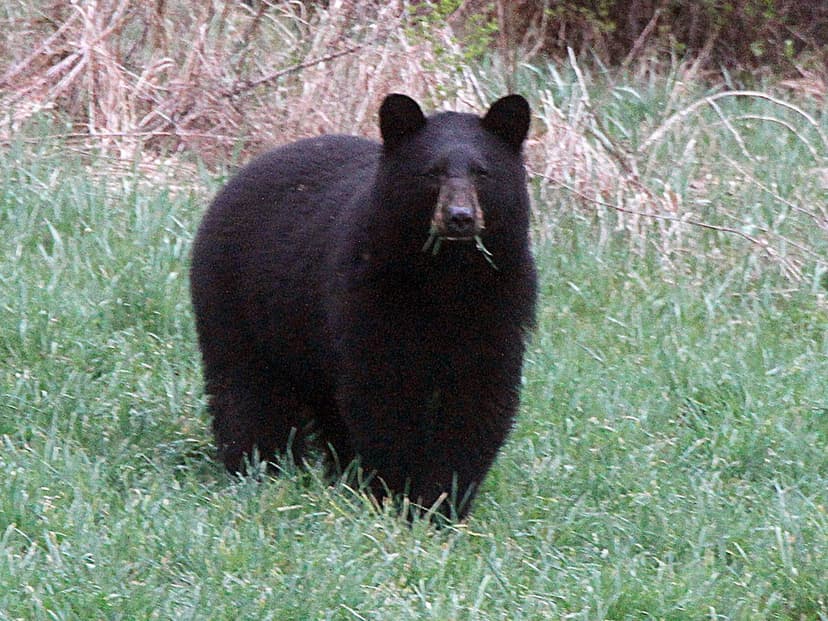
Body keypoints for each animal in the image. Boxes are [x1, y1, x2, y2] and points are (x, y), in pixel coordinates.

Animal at [190, 93, 537, 520]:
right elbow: (381, 395)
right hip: (236, 298)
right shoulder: (370, 295)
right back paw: (258, 465)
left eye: (482, 172)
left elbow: (478, 401)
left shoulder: (500, 304)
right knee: (246, 387)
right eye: (432, 173)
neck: (446, 278)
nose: (459, 218)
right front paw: (393, 494)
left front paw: (441, 504)